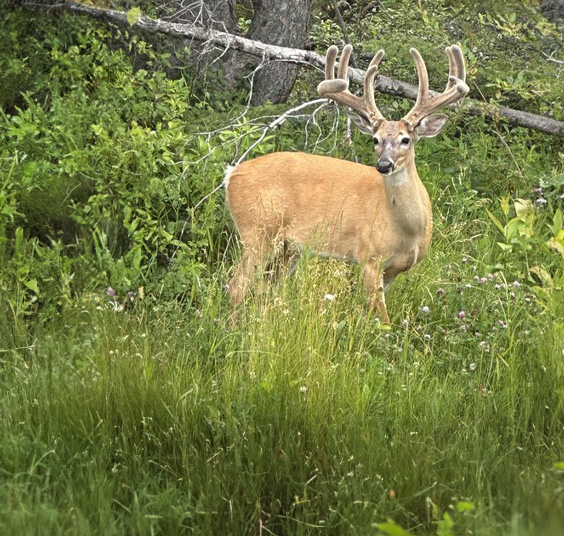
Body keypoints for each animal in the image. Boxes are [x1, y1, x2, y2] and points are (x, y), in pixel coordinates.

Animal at [225, 43, 468, 322]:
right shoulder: (369, 256)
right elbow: (382, 319)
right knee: (237, 284)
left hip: (288, 247)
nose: (384, 165)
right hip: (257, 229)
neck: (408, 230)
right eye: (375, 139)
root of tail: (232, 174)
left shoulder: (394, 270)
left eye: (405, 139)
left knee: (265, 288)